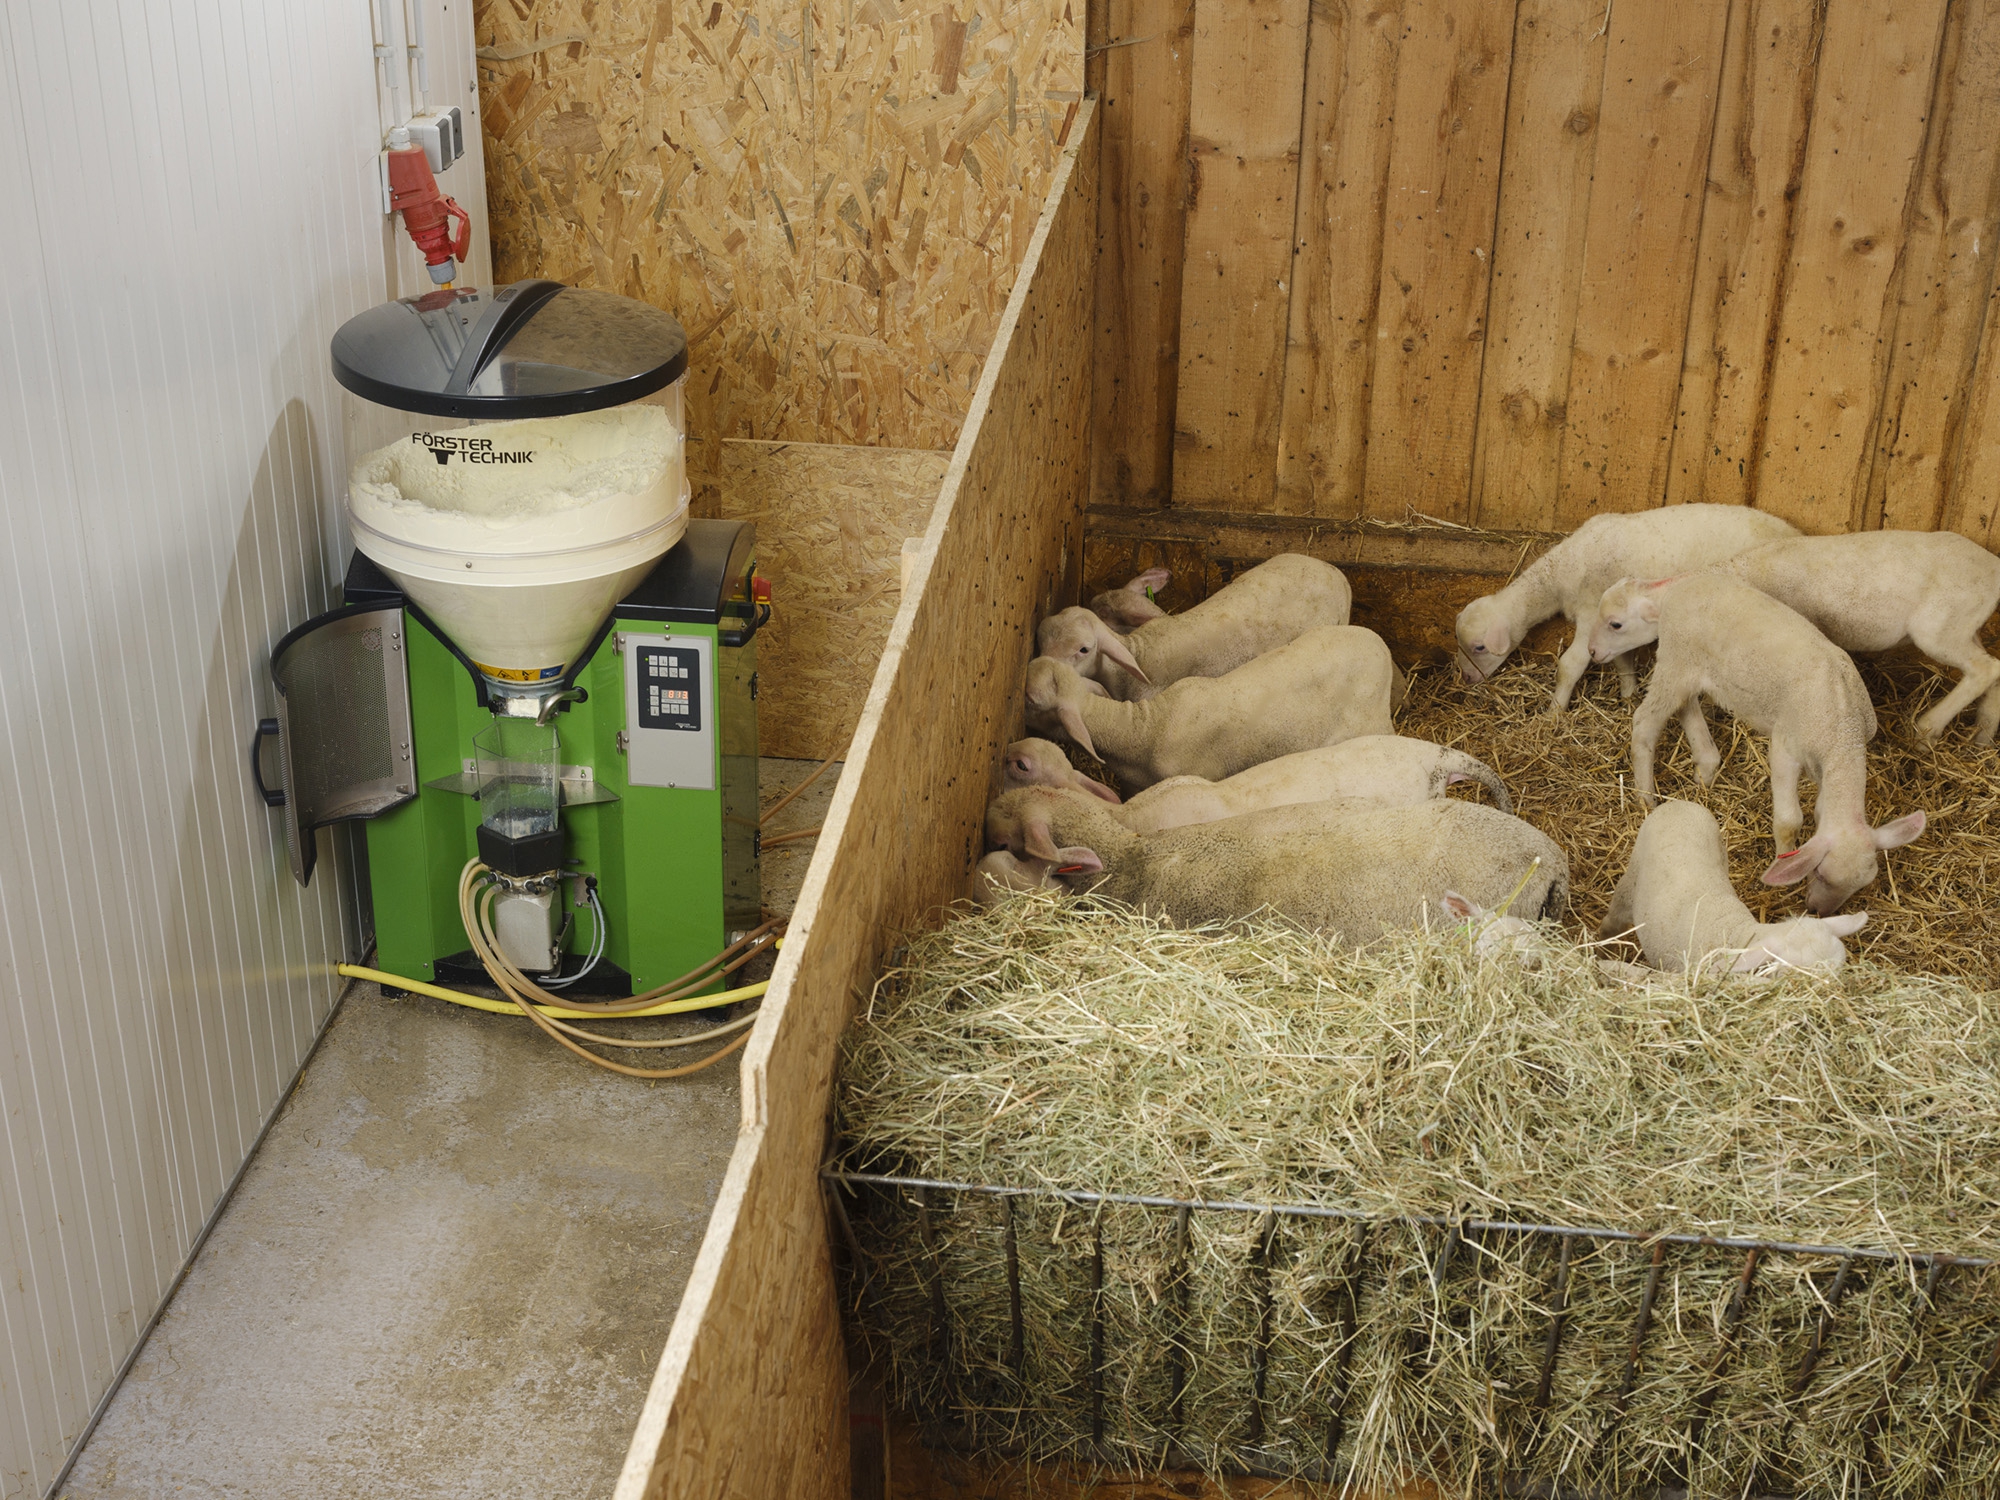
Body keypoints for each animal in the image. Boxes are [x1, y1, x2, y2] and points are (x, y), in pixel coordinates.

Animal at [1456, 506, 1800, 716]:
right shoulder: (1612, 626)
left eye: (1479, 647)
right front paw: (1627, 693)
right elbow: (1621, 658)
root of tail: (1794, 532)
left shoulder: (1591, 611)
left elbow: (1570, 665)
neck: (1566, 566)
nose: (1467, 678)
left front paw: (1553, 714)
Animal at [1584, 568, 1928, 912]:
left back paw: (1705, 767)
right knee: (1645, 723)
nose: (1817, 912)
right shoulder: (1785, 748)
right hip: (1675, 660)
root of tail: (1677, 587)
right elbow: (1790, 820)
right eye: (1821, 874)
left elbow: (1820, 811)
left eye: (1860, 887)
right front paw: (1783, 859)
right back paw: (1646, 798)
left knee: (1686, 705)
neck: (1843, 730)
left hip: (1685, 663)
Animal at [1720, 532, 2000, 748]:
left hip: (1940, 626)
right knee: (1994, 667)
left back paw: (1926, 731)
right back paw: (1983, 736)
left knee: (1984, 669)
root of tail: (1994, 566)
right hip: (1964, 625)